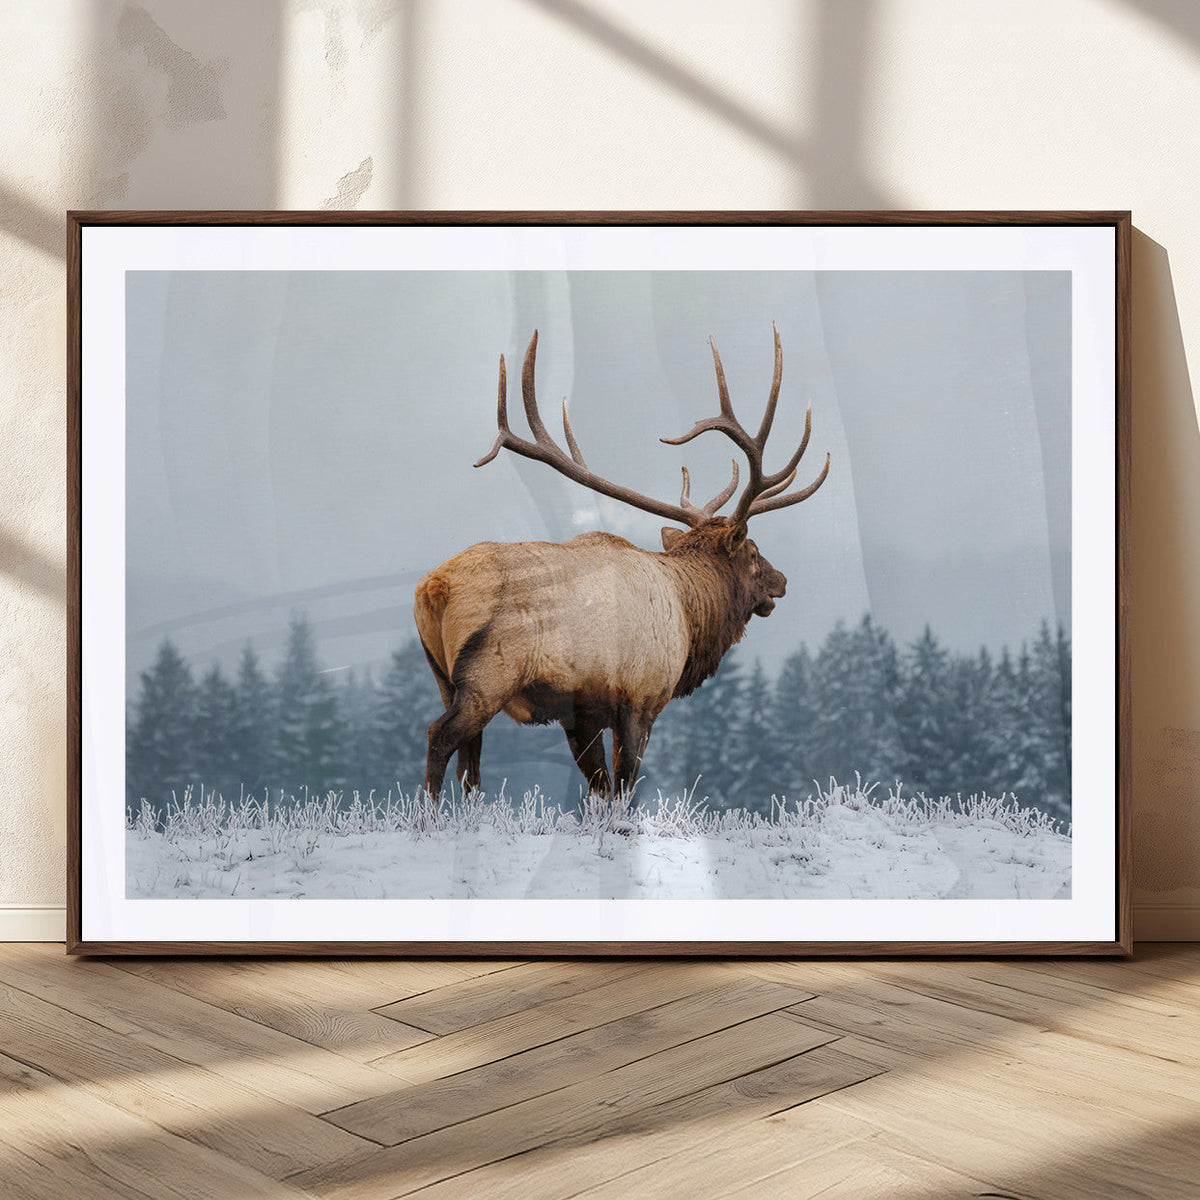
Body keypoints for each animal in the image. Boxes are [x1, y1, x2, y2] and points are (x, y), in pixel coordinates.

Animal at [414, 324, 830, 802]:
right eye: (754, 552)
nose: (782, 580)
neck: (690, 615)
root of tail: (434, 588)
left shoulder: (582, 714)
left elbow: (599, 788)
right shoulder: (640, 698)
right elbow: (625, 788)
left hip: (442, 677)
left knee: (471, 764)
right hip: (487, 676)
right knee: (440, 736)